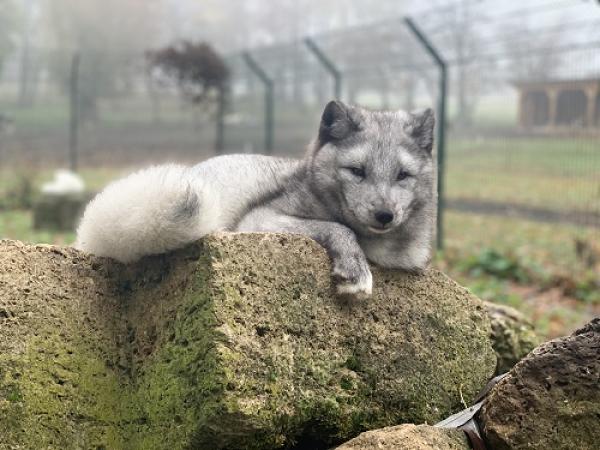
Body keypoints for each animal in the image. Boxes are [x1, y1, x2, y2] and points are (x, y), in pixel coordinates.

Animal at [75, 102, 434, 298]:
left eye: (403, 175)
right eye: (357, 171)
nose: (385, 215)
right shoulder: (260, 218)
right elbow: (338, 227)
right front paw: (355, 270)